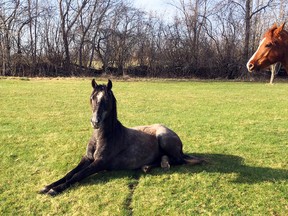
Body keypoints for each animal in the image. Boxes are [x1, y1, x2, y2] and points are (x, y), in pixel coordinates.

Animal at [39, 79, 204, 196]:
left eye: (107, 100)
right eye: (92, 98)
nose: (95, 122)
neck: (102, 137)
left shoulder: (100, 163)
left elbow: (78, 175)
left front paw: (55, 190)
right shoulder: (87, 158)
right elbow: (70, 173)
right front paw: (47, 186)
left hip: (163, 138)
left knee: (178, 160)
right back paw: (149, 166)